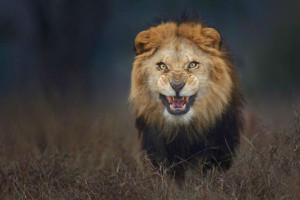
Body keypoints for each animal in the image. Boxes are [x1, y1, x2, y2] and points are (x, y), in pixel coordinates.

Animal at [129, 16, 244, 183]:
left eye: (192, 64)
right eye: (162, 66)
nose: (177, 86)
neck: (182, 128)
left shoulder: (219, 146)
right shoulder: (157, 148)